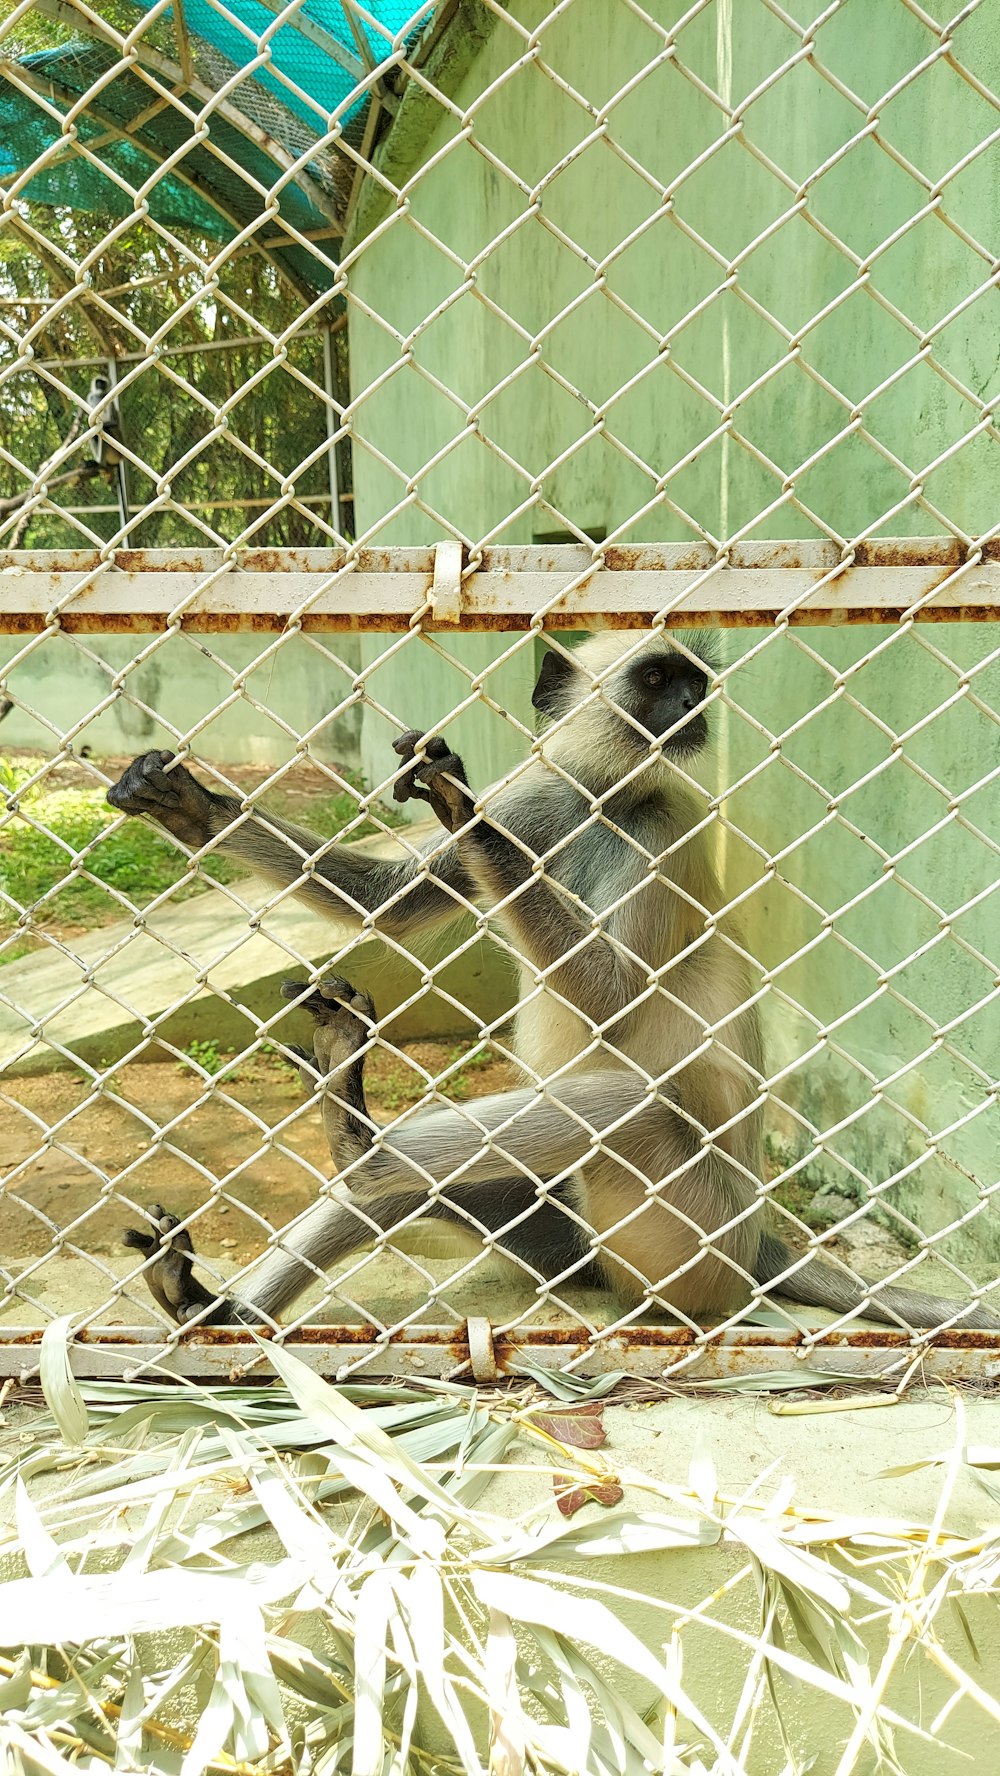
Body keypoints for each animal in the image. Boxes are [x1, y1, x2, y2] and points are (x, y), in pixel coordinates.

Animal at [109, 632, 1000, 1328]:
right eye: (657, 680)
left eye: (689, 680)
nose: (692, 704)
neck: (604, 802)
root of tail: (756, 1246)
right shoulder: (544, 800)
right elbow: (383, 905)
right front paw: (193, 808)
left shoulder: (660, 831)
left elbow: (614, 1000)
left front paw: (463, 810)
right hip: (568, 1225)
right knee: (408, 1197)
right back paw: (211, 1299)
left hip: (686, 1244)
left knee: (634, 1106)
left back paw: (358, 1144)